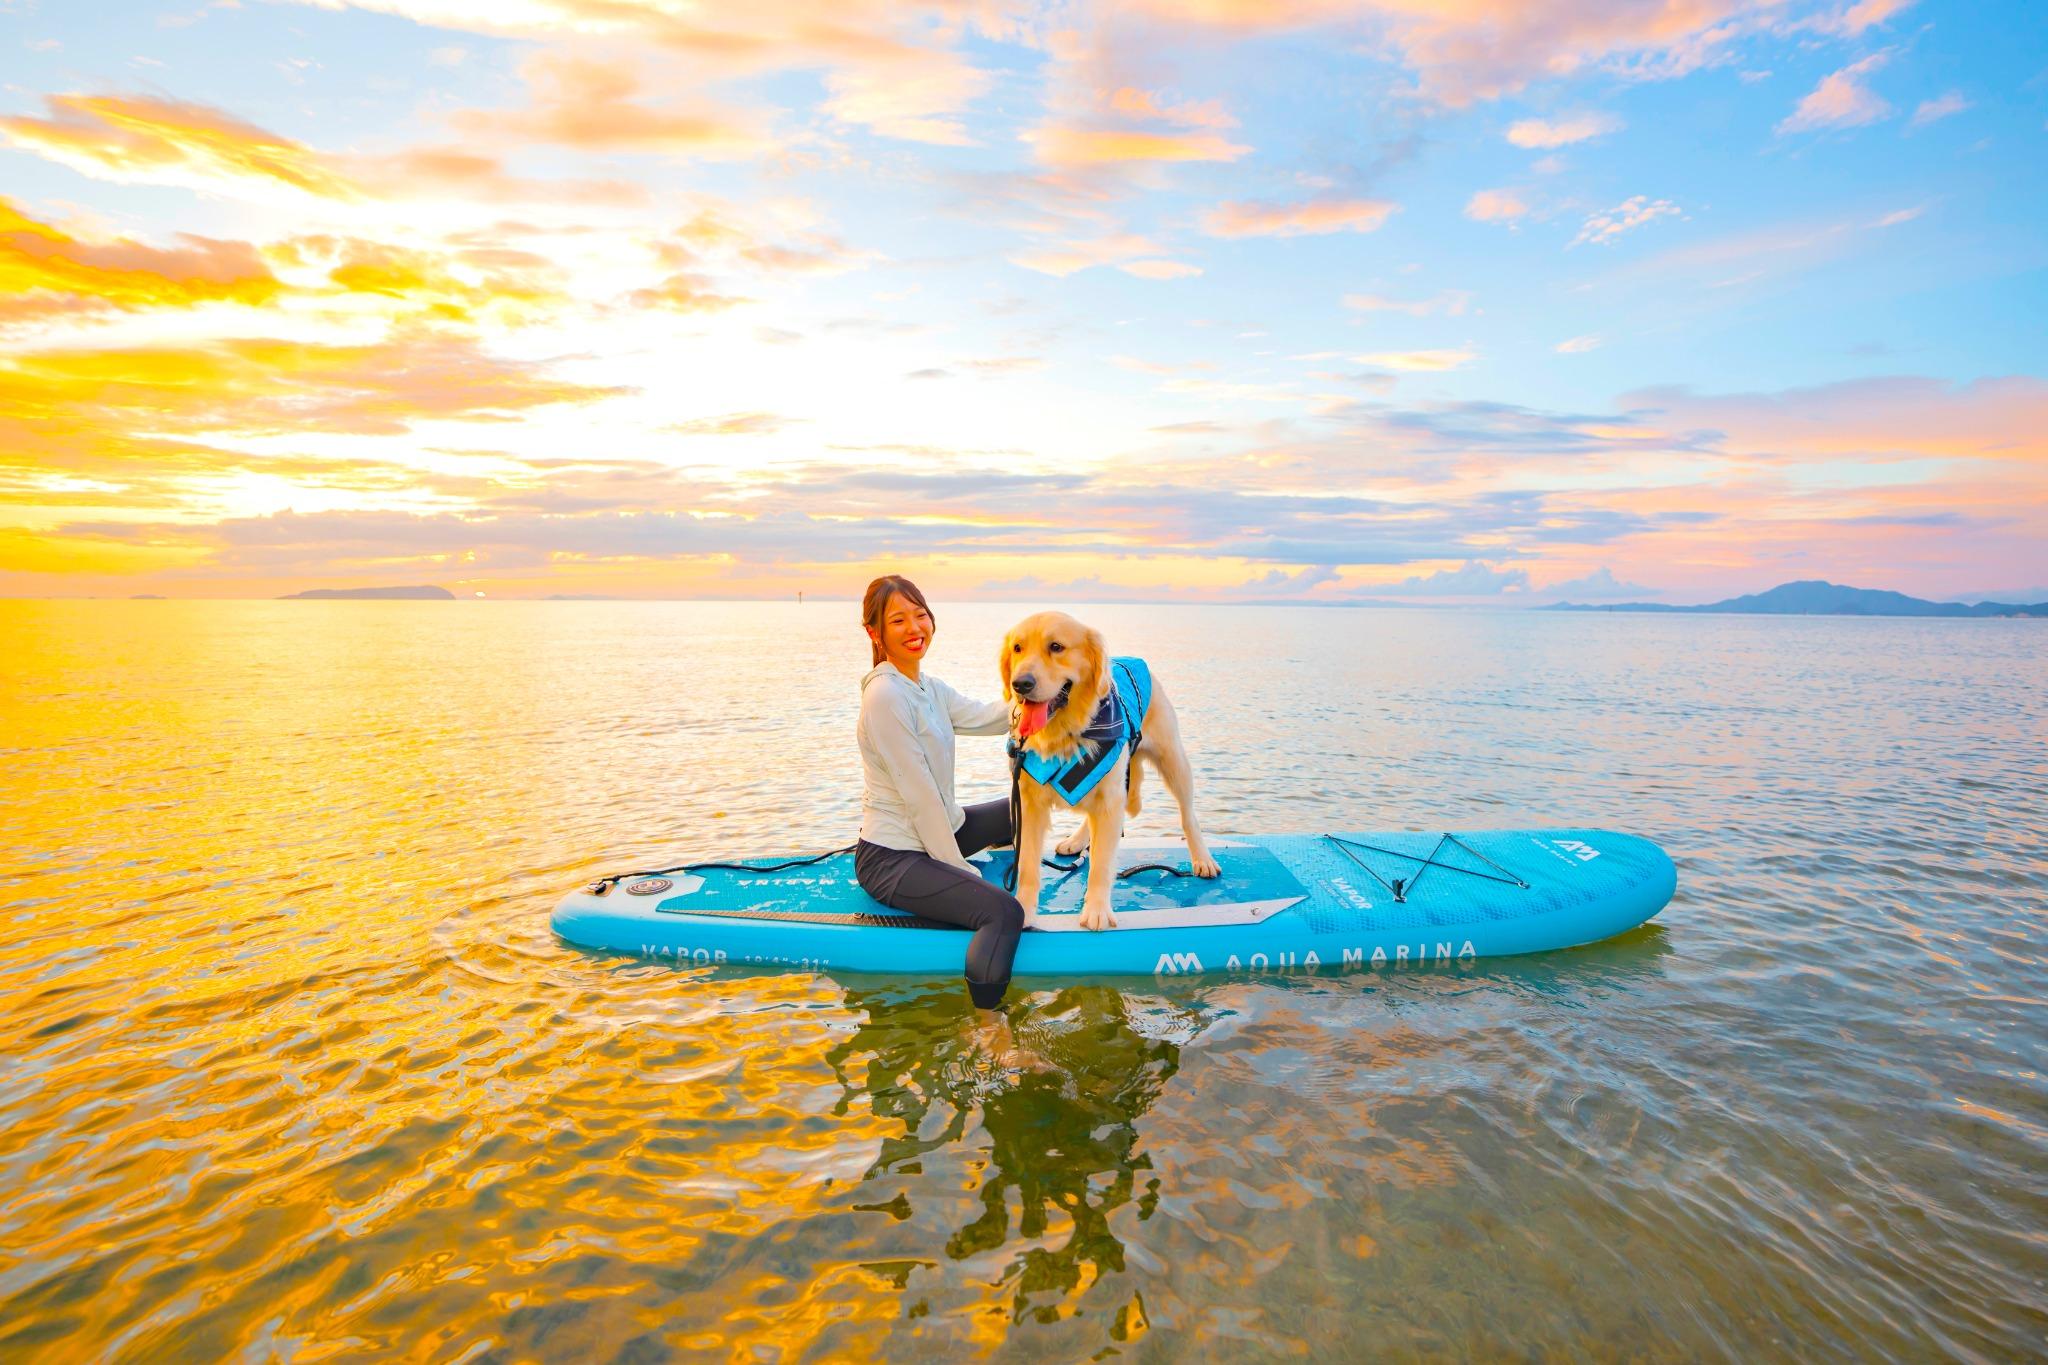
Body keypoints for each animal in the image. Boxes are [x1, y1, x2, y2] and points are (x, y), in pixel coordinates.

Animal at [1003, 613, 1220, 933]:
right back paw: (1077, 840)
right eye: (1017, 648)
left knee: (1188, 815)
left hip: (1173, 761)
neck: (1065, 733)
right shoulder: (1029, 804)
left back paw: (1202, 858)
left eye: (1056, 647)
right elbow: (1028, 864)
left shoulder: (1110, 800)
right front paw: (1024, 910)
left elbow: (1102, 864)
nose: (1021, 684)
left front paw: (1097, 911)